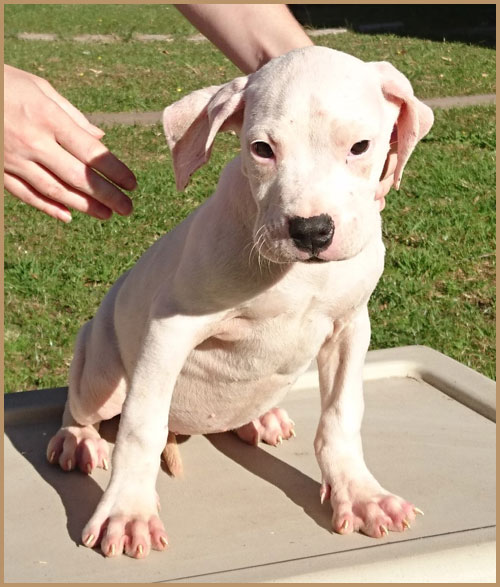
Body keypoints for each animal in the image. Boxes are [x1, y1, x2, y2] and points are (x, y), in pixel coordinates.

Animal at [47, 48, 434, 560]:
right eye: (262, 149)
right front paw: (128, 513)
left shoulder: (351, 327)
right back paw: (77, 441)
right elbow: (141, 427)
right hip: (100, 371)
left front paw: (362, 495)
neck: (298, 274)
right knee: (82, 406)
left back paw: (260, 418)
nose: (311, 231)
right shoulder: (169, 330)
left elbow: (342, 414)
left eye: (360, 147)